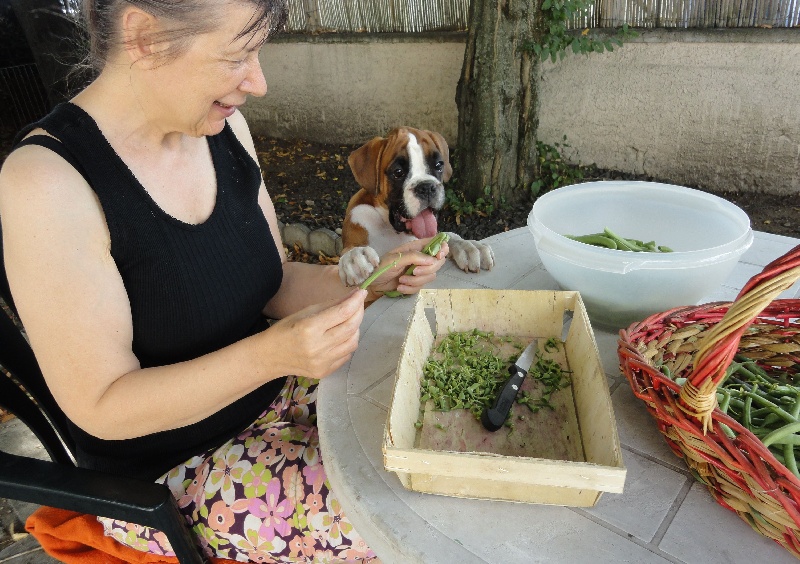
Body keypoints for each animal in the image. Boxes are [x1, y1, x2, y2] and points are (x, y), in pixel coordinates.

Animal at [338, 128, 494, 286]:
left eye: (439, 165)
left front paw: (468, 246)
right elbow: (351, 248)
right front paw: (354, 256)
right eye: (398, 172)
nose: (426, 187)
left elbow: (448, 236)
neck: (391, 229)